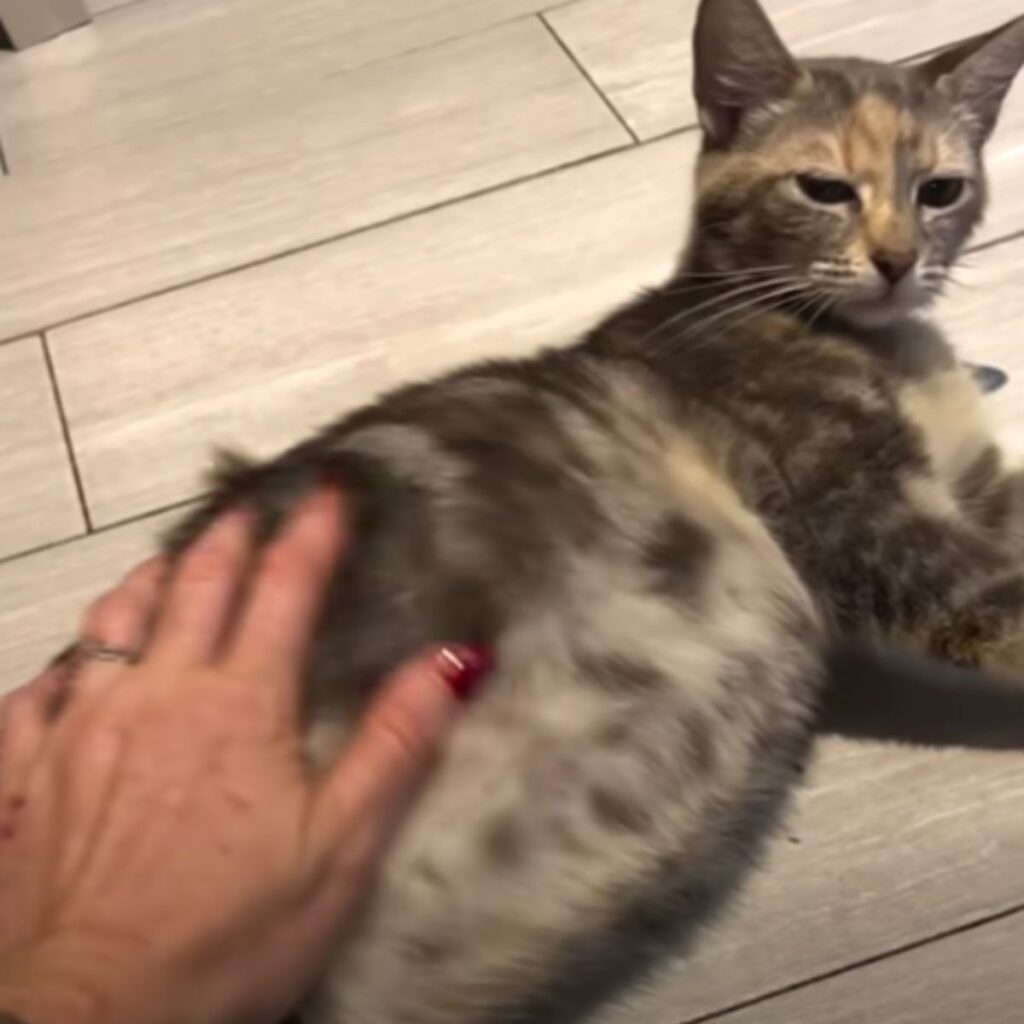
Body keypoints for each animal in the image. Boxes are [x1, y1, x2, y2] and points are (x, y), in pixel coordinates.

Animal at [163, 2, 1024, 1024]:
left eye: (941, 190)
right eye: (823, 188)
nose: (899, 261)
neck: (881, 350)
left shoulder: (975, 487)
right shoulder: (874, 526)